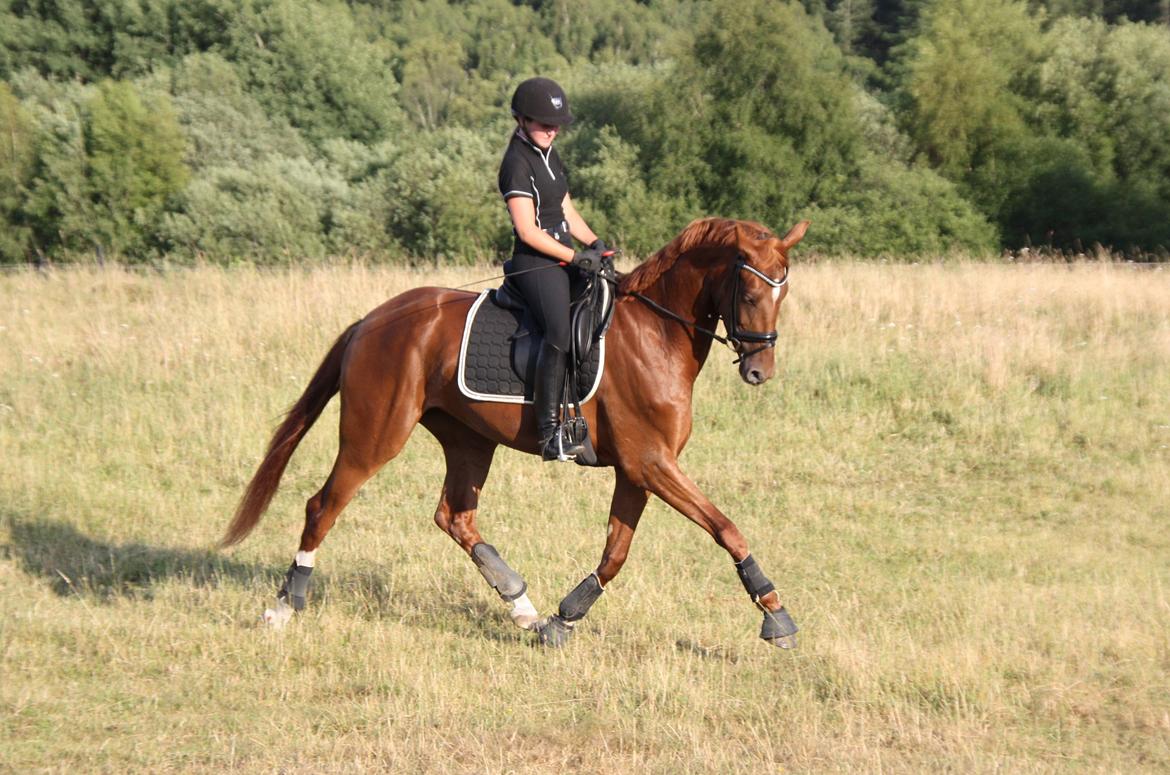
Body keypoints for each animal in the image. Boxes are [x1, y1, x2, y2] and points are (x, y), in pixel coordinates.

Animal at [221, 215, 804, 646]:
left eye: (783, 293)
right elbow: (725, 527)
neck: (657, 333)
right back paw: (283, 607)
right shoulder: (651, 463)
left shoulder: (638, 470)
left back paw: (522, 605)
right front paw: (775, 613)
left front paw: (563, 620)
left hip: (468, 439)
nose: (760, 372)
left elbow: (615, 553)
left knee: (454, 516)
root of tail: (371, 321)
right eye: (750, 292)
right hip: (374, 438)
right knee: (323, 505)